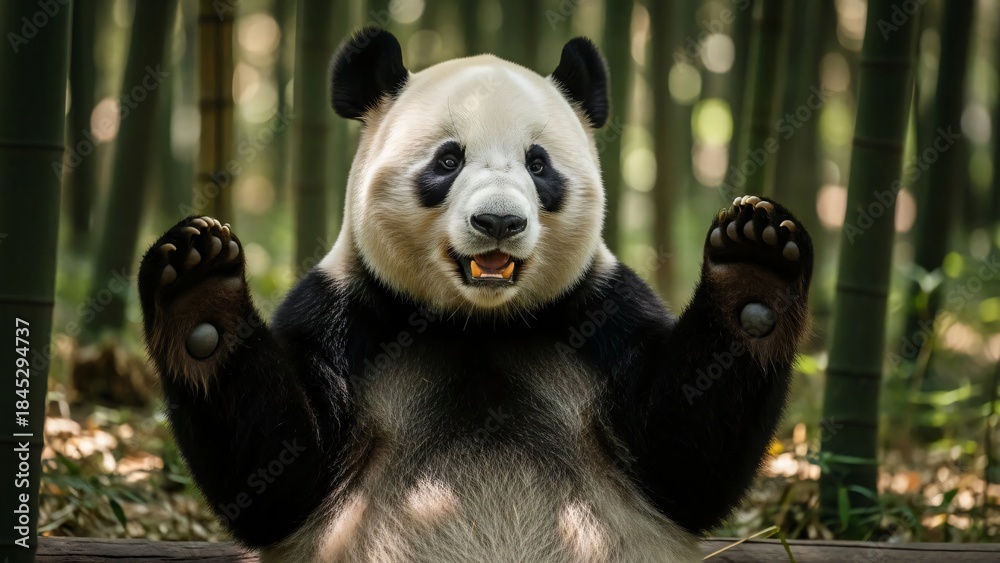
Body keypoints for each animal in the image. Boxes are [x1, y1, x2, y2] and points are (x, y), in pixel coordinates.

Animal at [138, 27, 812, 562]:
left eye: (538, 164)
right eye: (448, 160)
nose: (498, 222)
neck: (478, 322)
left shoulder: (603, 313)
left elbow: (683, 465)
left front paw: (754, 269)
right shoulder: (343, 314)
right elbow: (276, 483)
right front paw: (200, 295)